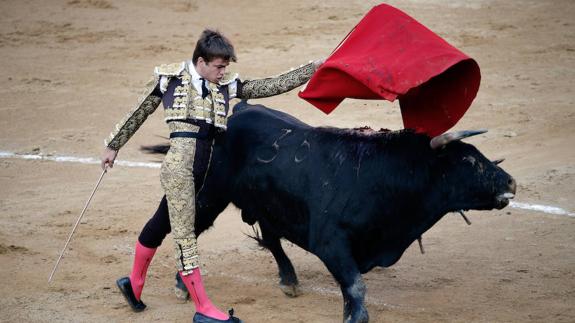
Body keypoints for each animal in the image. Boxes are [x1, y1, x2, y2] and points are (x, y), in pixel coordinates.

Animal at [151, 102, 516, 323]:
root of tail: (236, 110)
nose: (510, 182)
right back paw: (182, 287)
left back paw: (289, 281)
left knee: (272, 238)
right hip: (205, 196)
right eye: (468, 161)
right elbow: (355, 285)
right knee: (183, 230)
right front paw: (355, 317)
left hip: (266, 202)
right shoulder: (330, 242)